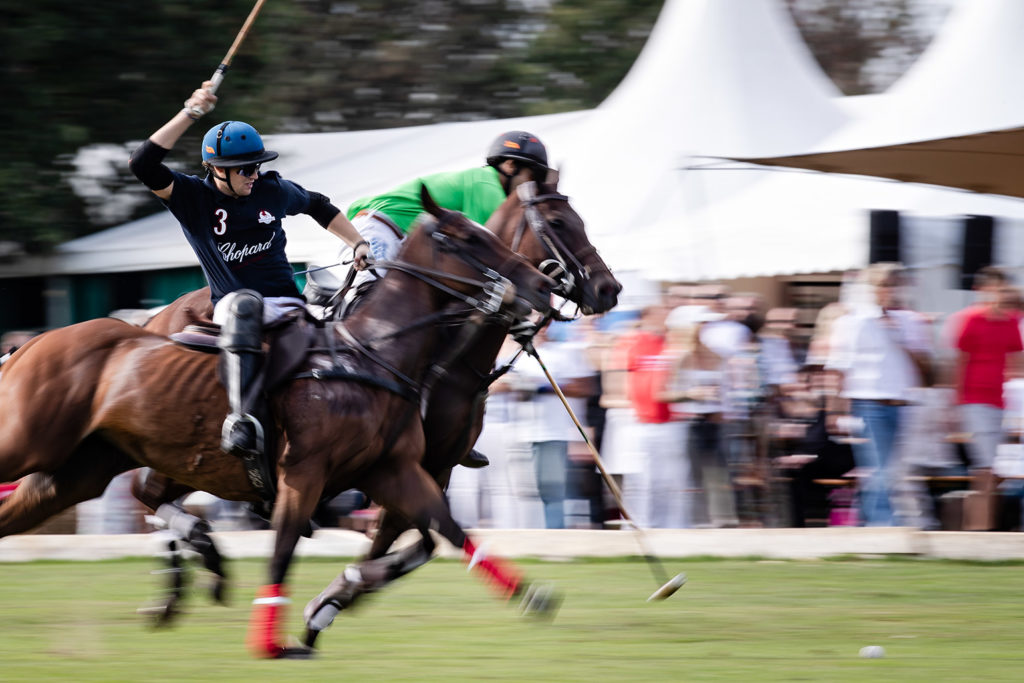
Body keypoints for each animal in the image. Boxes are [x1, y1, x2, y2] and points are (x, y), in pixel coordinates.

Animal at [0, 192, 552, 655]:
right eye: (470, 240)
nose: (545, 285)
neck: (371, 353)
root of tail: (27, 344)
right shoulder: (304, 471)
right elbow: (284, 551)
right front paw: (276, 638)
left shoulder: (394, 470)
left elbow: (447, 532)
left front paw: (533, 597)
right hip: (30, 443)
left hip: (79, 472)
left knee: (100, 500)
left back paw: (198, 563)